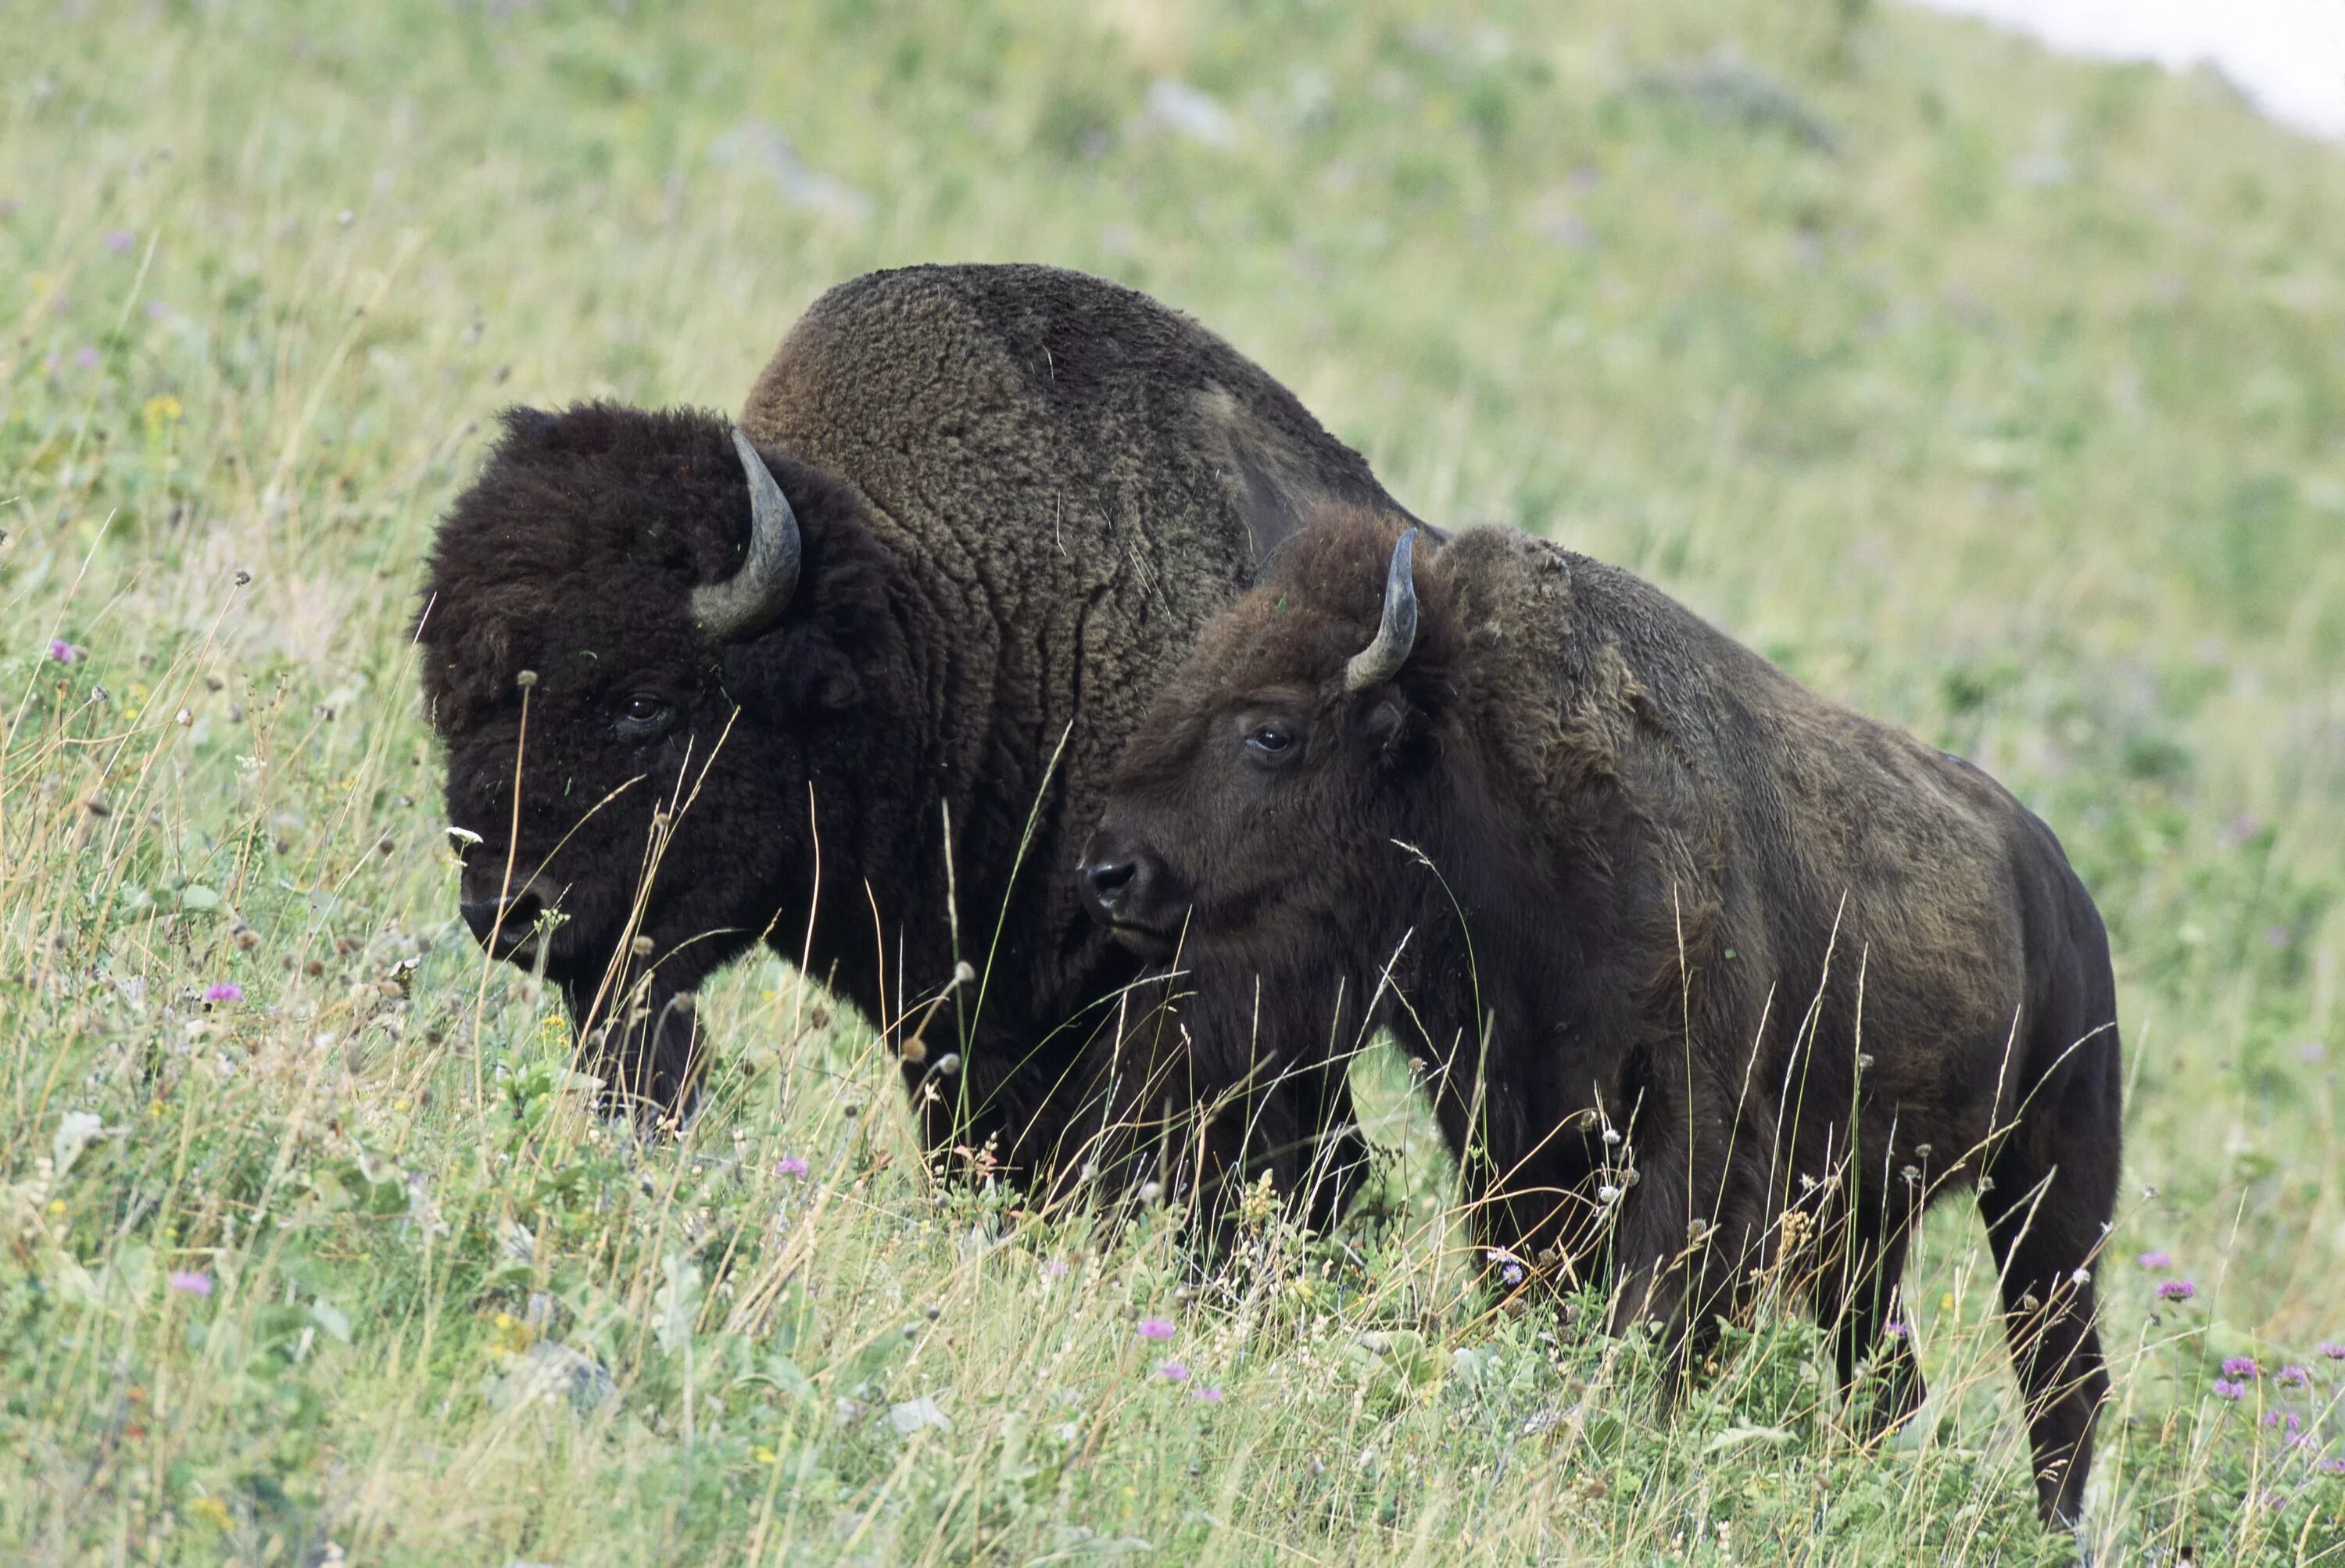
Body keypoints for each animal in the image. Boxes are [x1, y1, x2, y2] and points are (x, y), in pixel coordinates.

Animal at [1079, 508, 2129, 1519]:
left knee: (2062, 1381)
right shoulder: (1511, 1135)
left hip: (2049, 1191)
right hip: (1868, 1224)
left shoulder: (1694, 1139)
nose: (1109, 871)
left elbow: (1651, 1321)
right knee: (1888, 1376)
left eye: (1272, 732)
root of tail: (2065, 892)